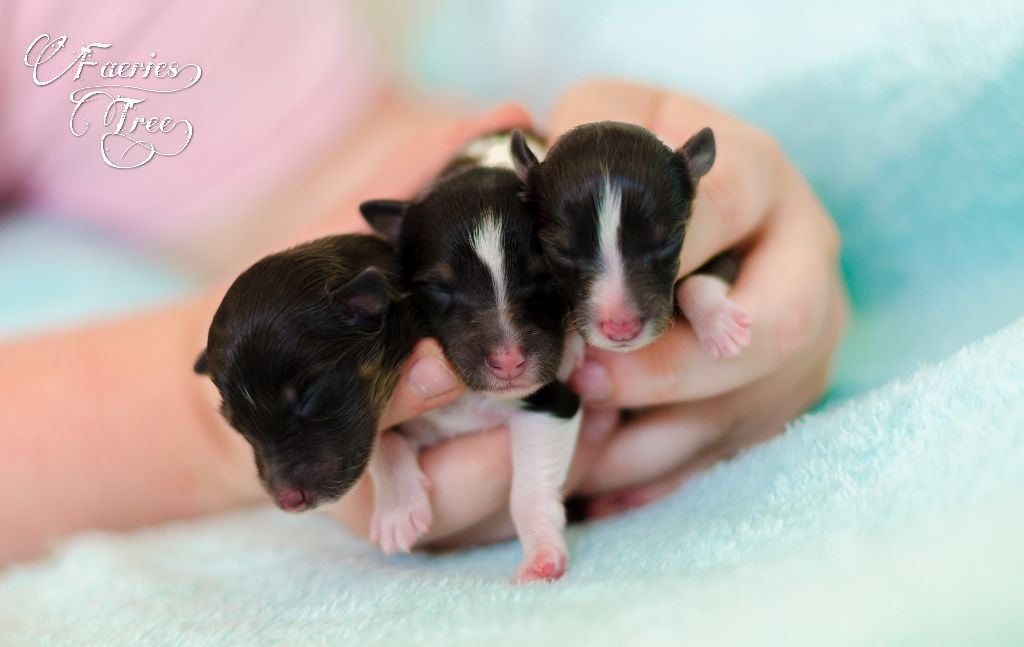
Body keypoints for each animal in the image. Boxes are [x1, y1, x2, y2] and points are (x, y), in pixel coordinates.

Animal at [360, 130, 585, 581]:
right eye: (439, 288)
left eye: (547, 276)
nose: (509, 361)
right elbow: (381, 435)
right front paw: (397, 512)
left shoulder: (551, 403)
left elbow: (528, 491)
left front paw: (541, 556)